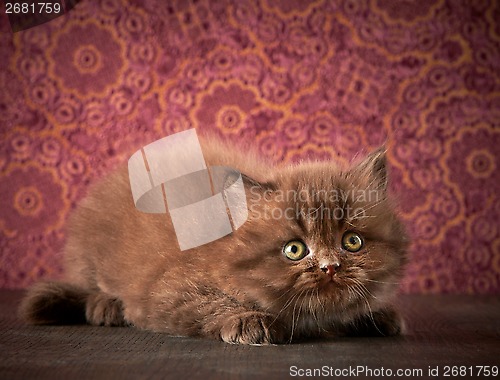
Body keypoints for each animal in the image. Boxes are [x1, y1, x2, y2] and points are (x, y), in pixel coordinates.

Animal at [20, 134, 410, 344]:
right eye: (295, 249)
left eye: (352, 242)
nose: (330, 267)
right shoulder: (166, 290)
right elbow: (206, 304)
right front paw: (249, 321)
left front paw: (376, 314)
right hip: (89, 256)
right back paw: (106, 306)